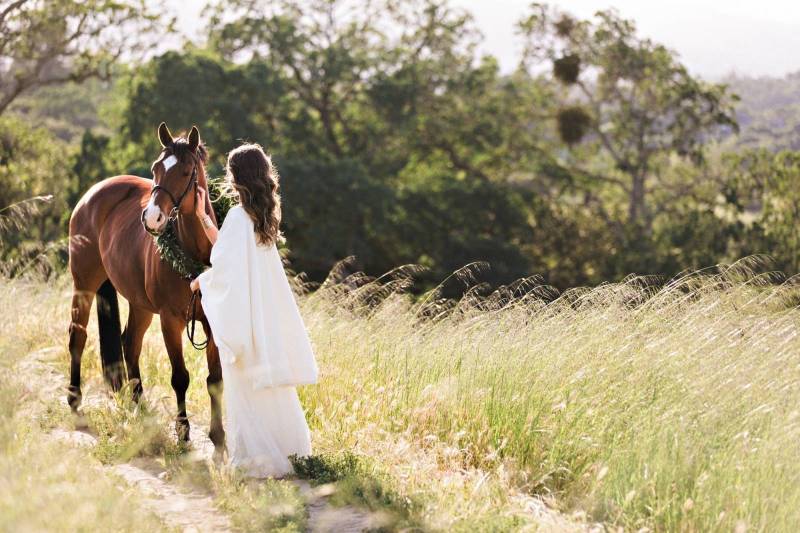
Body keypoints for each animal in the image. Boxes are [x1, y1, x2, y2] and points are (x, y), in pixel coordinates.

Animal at [68, 124, 225, 454]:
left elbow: (215, 381)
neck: (193, 255)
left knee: (130, 346)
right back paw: (75, 401)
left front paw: (219, 439)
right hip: (84, 283)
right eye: (156, 168)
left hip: (139, 305)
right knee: (78, 336)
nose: (152, 218)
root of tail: (93, 193)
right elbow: (180, 377)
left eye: (186, 171)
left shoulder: (213, 324)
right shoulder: (169, 321)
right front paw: (183, 433)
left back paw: (139, 410)